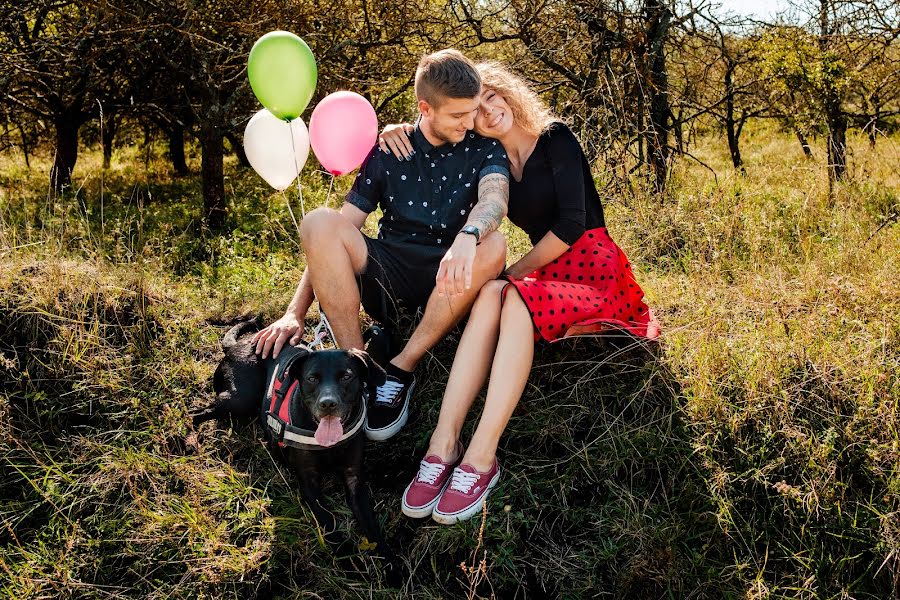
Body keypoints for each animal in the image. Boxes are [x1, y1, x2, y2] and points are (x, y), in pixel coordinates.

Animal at [193, 324, 394, 564]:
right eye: (312, 378)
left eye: (346, 376)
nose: (328, 404)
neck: (328, 444)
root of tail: (241, 343)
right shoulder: (308, 481)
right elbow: (328, 520)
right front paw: (346, 557)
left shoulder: (354, 477)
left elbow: (370, 524)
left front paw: (390, 560)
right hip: (239, 398)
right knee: (196, 413)